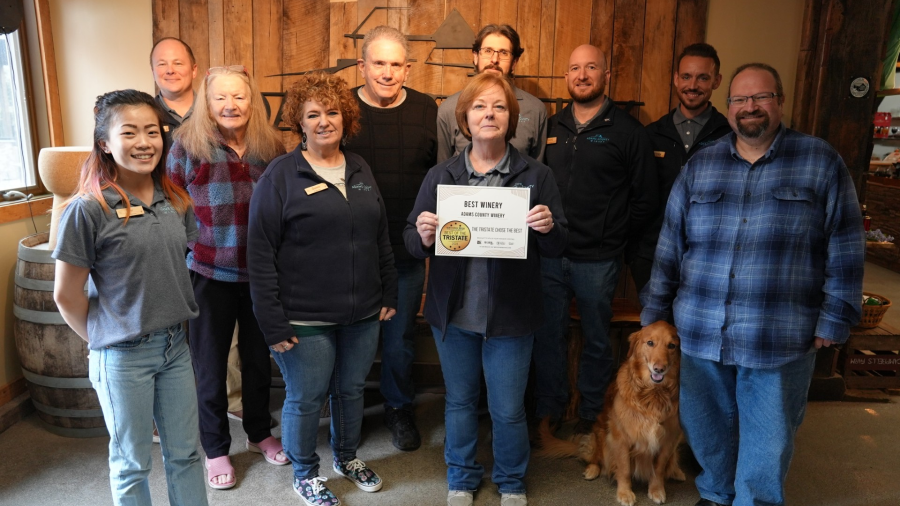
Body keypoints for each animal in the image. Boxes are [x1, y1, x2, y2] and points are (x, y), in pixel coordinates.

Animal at [536, 322, 684, 504]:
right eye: (650, 343)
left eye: (672, 346)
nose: (659, 369)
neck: (653, 395)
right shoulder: (620, 437)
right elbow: (624, 468)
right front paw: (625, 493)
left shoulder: (669, 439)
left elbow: (659, 468)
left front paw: (656, 490)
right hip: (600, 436)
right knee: (595, 458)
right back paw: (592, 470)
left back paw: (677, 472)